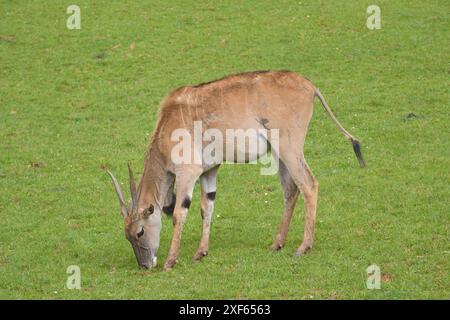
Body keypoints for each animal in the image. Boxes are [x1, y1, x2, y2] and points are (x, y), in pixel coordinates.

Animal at [106, 70, 366, 270]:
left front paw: (171, 261)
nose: (145, 265)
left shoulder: (188, 174)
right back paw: (277, 243)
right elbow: (207, 207)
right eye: (127, 236)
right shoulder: (209, 171)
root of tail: (309, 85)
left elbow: (180, 213)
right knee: (290, 190)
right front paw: (200, 252)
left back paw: (303, 246)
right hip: (279, 154)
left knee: (308, 184)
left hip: (289, 148)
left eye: (139, 232)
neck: (168, 123)